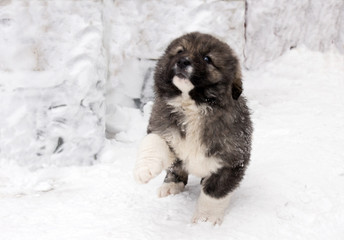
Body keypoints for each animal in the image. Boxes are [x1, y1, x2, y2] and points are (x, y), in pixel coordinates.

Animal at [134, 32, 253, 225]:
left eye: (207, 59)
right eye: (180, 51)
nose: (183, 61)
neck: (193, 106)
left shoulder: (231, 161)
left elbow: (214, 192)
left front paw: (206, 218)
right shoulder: (166, 133)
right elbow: (154, 141)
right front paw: (144, 169)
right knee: (175, 170)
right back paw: (170, 185)